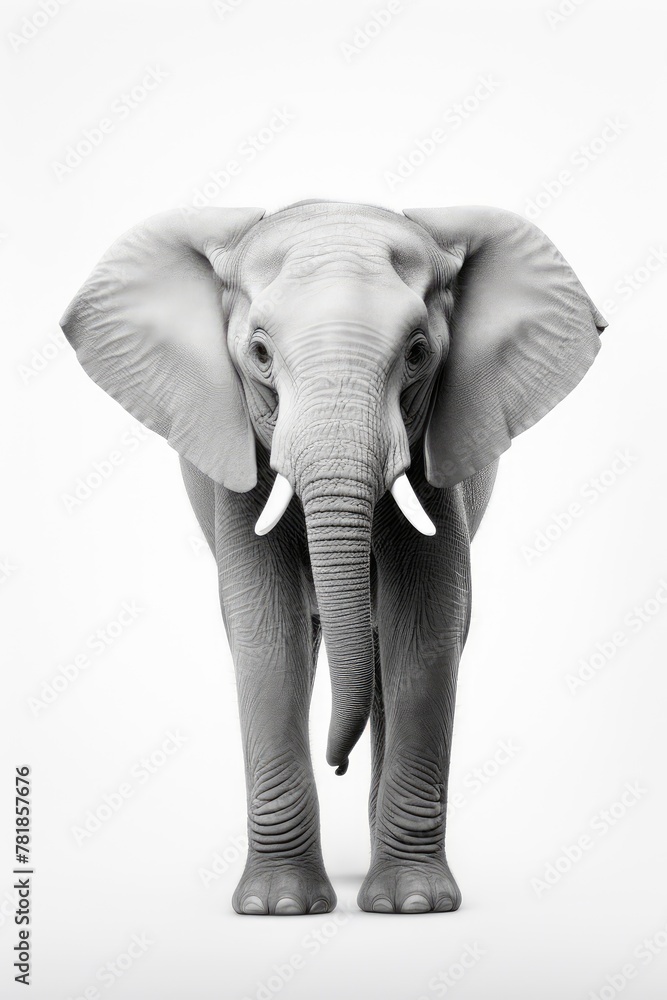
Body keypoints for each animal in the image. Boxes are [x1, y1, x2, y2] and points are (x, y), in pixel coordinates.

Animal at [61, 200, 606, 915]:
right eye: (259, 353)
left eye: (418, 353)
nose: (334, 760)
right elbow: (267, 632)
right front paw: (279, 908)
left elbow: (427, 627)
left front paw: (414, 905)